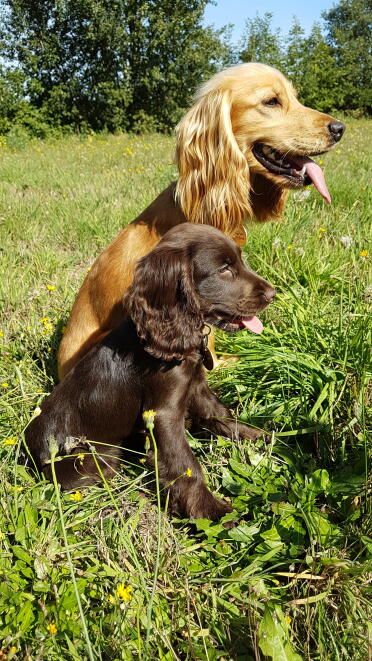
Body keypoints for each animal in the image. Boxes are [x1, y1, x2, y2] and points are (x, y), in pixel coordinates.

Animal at [26, 227, 274, 520]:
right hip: (93, 459)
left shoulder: (197, 388)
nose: (273, 294)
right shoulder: (162, 414)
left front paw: (267, 437)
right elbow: (185, 465)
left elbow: (222, 417)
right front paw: (212, 511)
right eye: (224, 269)